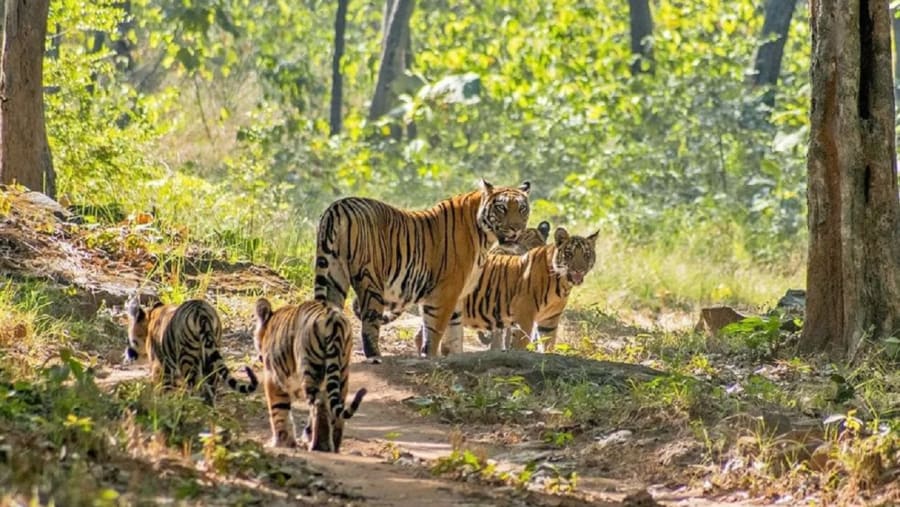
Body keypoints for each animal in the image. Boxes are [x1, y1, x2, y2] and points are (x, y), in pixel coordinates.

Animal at [124, 298, 259, 404]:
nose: (128, 353)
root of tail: (202, 313)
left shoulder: (159, 365)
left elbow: (162, 387)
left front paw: (160, 402)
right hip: (211, 356)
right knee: (211, 385)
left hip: (187, 358)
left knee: (193, 385)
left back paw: (193, 404)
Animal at [252, 298, 367, 452]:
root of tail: (333, 318)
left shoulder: (273, 378)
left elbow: (279, 410)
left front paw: (280, 443)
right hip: (342, 373)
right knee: (336, 409)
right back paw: (333, 447)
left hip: (310, 370)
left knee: (318, 405)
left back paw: (319, 446)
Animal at [313, 179, 532, 360]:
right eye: (501, 208)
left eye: (522, 209)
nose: (516, 229)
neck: (485, 237)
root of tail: (339, 206)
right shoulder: (444, 293)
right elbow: (434, 331)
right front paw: (431, 357)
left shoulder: (458, 295)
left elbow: (454, 334)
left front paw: (454, 358)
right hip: (370, 279)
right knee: (370, 322)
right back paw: (374, 356)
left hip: (334, 275)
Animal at [414, 227, 598, 354]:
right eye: (569, 254)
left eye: (586, 255)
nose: (579, 269)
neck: (562, 283)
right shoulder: (525, 316)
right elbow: (519, 344)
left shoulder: (550, 320)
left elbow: (548, 343)